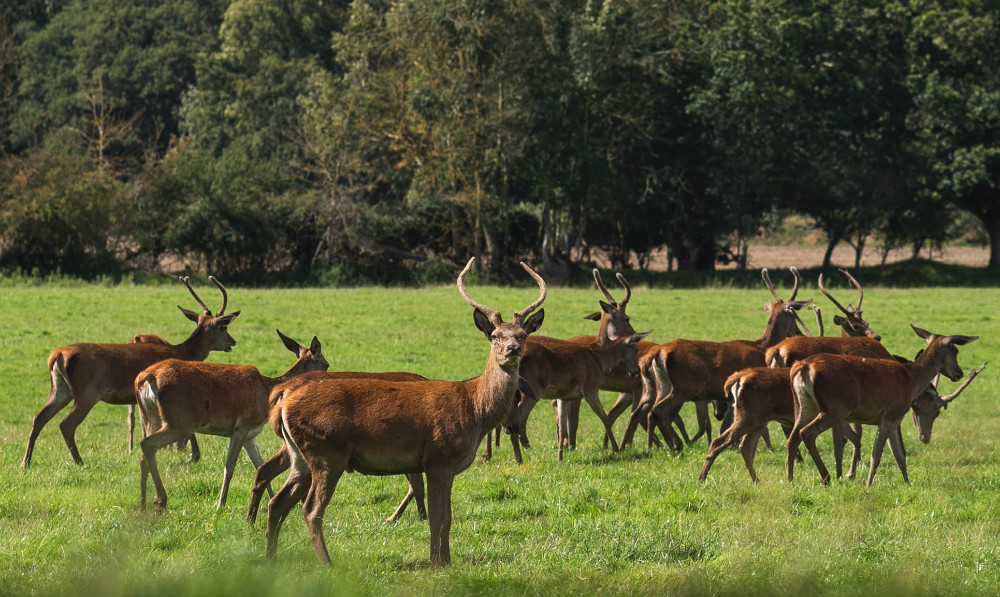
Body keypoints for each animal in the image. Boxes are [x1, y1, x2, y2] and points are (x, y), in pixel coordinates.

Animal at [21, 278, 240, 468]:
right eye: (223, 327)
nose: (232, 341)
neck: (184, 352)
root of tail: (58, 355)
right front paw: (193, 456)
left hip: (60, 389)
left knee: (38, 418)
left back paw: (26, 462)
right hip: (87, 392)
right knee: (66, 424)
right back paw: (79, 461)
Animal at [134, 328, 332, 510]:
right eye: (326, 364)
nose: (328, 375)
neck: (267, 392)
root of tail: (146, 378)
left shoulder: (250, 434)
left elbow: (259, 464)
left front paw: (270, 498)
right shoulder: (241, 426)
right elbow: (229, 467)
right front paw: (220, 504)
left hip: (150, 415)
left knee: (144, 454)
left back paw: (143, 504)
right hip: (179, 421)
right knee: (147, 444)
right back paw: (160, 500)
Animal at [262, 256, 548, 564]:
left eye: (523, 334)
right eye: (494, 335)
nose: (512, 349)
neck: (473, 410)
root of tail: (282, 400)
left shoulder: (445, 467)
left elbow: (447, 518)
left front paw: (445, 561)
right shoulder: (438, 457)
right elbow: (438, 519)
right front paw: (437, 563)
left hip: (299, 456)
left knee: (277, 502)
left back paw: (270, 559)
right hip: (327, 451)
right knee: (310, 508)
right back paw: (327, 563)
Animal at [616, 266, 812, 452]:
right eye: (794, 314)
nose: (798, 331)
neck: (761, 348)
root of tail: (659, 352)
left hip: (662, 385)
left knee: (649, 411)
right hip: (684, 386)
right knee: (660, 410)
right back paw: (676, 445)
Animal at [784, 326, 980, 484]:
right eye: (955, 351)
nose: (959, 373)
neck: (912, 380)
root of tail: (803, 367)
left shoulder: (894, 420)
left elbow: (899, 455)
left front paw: (908, 484)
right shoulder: (890, 415)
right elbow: (876, 454)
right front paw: (869, 484)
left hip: (803, 404)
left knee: (792, 437)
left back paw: (790, 479)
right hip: (835, 408)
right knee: (807, 432)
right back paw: (825, 477)